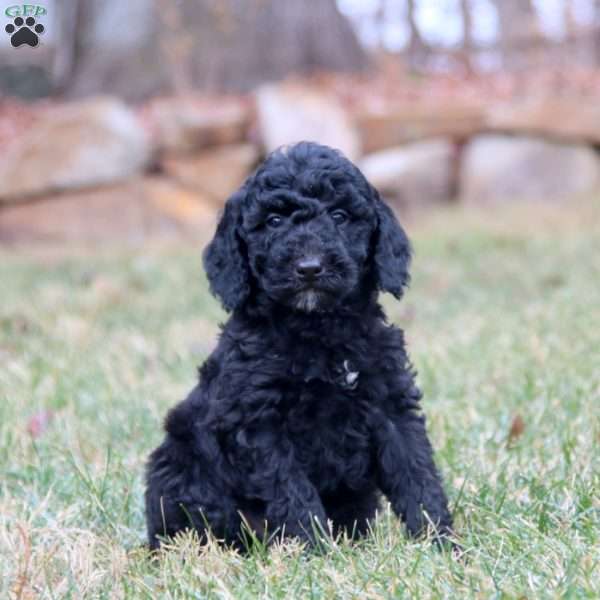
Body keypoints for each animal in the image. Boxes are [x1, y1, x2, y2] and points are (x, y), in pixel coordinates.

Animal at [146, 139, 450, 548]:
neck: (319, 331)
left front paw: (442, 541)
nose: (309, 268)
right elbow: (291, 490)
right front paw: (315, 548)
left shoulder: (391, 404)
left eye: (339, 215)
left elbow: (416, 472)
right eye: (274, 221)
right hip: (179, 460)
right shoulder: (259, 423)